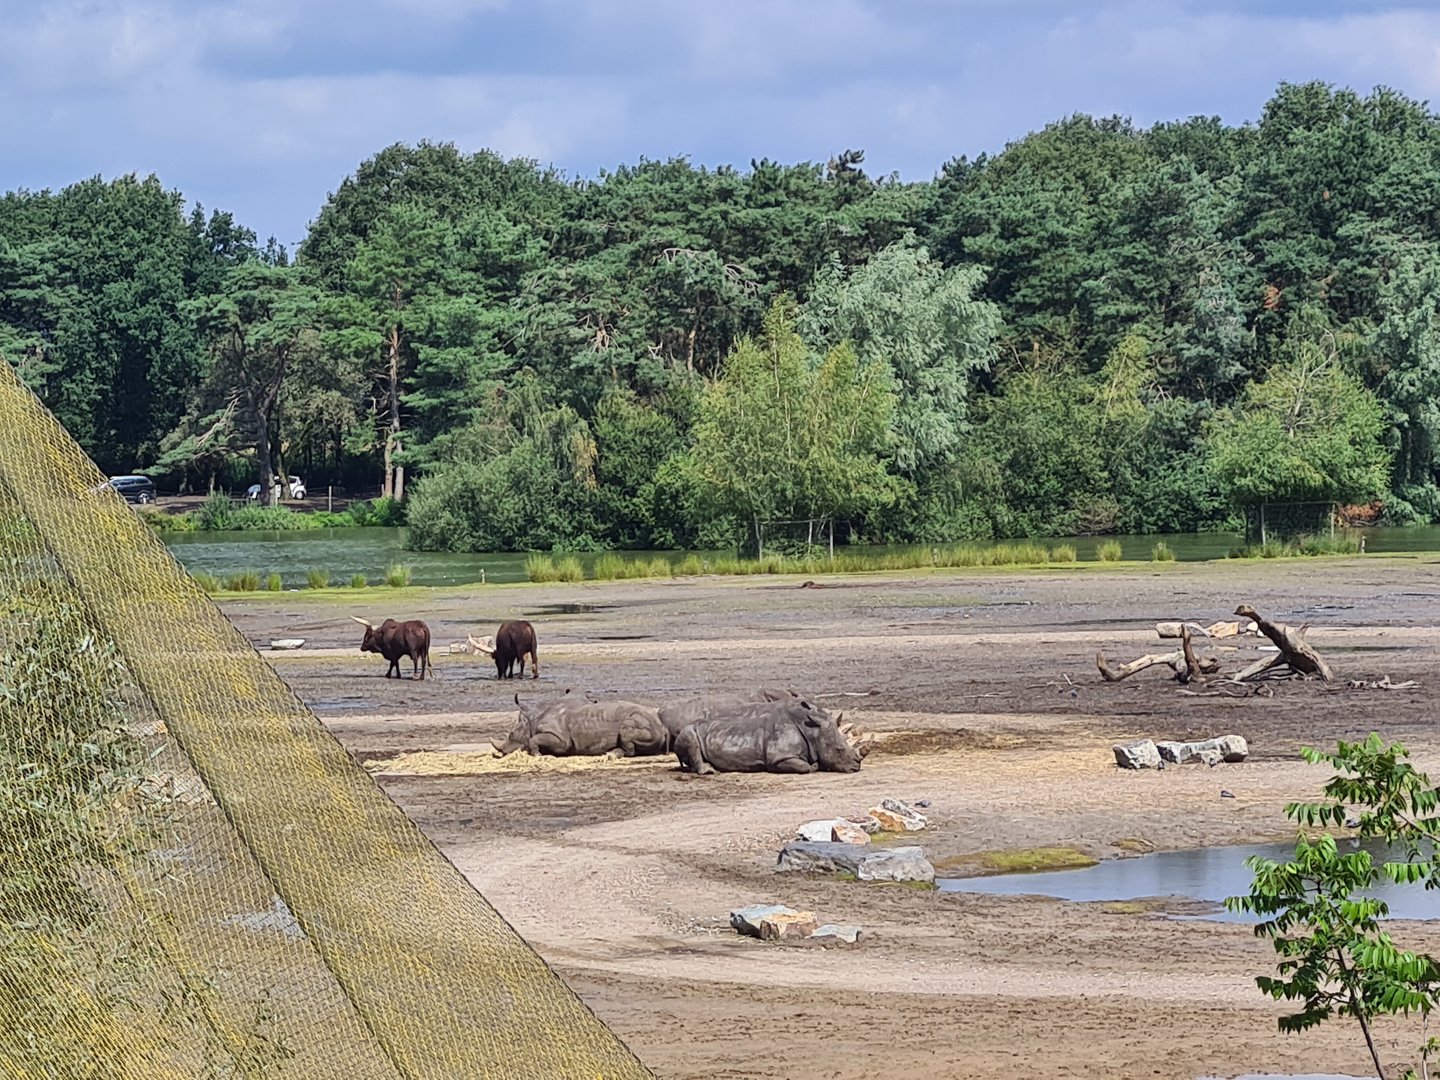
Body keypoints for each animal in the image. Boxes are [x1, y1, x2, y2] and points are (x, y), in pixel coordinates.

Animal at [492, 694, 668, 758]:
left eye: (511, 735)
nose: (501, 752)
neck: (531, 721)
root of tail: (663, 727)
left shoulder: (560, 739)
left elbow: (533, 739)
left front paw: (537, 755)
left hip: (643, 721)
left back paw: (611, 754)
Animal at [673, 700, 871, 775]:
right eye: (839, 750)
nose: (856, 767)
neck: (812, 732)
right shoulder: (779, 757)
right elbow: (804, 767)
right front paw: (814, 766)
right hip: (686, 730)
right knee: (690, 737)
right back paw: (710, 771)